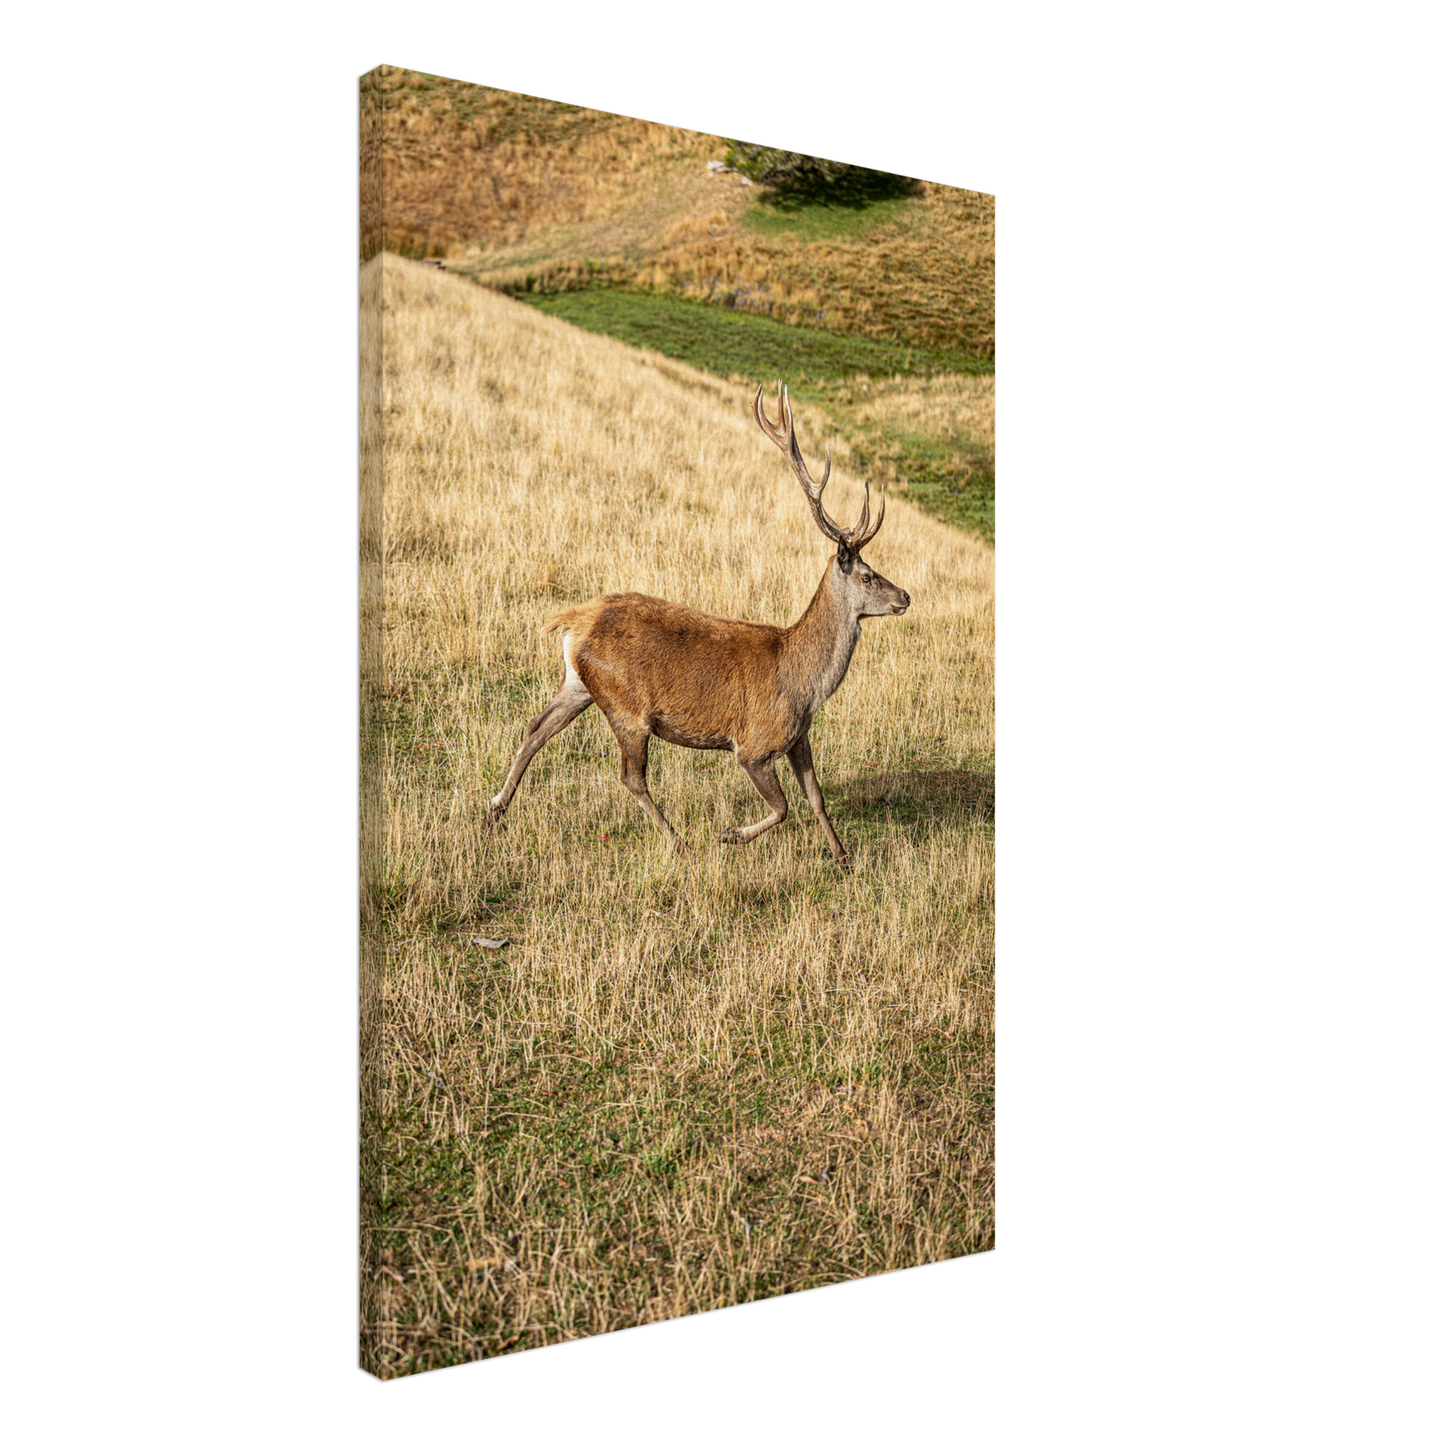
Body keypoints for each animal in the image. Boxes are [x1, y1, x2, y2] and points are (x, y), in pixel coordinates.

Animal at [484, 381, 911, 871]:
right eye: (868, 575)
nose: (905, 597)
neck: (804, 685)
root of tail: (577, 619)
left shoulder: (799, 737)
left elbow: (816, 798)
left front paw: (842, 857)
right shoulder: (755, 744)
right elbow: (783, 806)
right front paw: (731, 834)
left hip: (579, 683)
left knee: (537, 727)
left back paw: (495, 808)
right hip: (626, 707)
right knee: (631, 776)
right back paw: (679, 842)